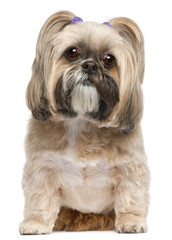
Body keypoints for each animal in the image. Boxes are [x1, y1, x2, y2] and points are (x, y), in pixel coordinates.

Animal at [19, 11, 150, 234]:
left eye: (109, 59)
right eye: (72, 52)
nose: (90, 65)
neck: (83, 120)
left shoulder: (130, 167)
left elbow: (131, 195)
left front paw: (131, 221)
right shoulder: (42, 168)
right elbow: (40, 198)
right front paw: (35, 223)